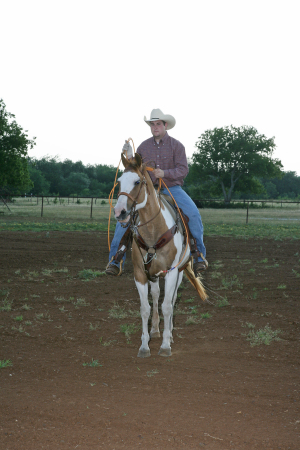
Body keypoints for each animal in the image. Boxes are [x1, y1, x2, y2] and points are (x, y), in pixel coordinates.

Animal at [113, 153, 207, 356]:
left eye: (137, 181)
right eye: (119, 182)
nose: (120, 212)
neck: (154, 232)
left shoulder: (171, 272)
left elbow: (167, 306)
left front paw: (165, 346)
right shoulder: (140, 274)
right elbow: (145, 308)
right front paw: (144, 345)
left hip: (179, 272)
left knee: (171, 300)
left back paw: (168, 334)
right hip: (153, 275)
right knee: (156, 295)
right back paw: (155, 330)